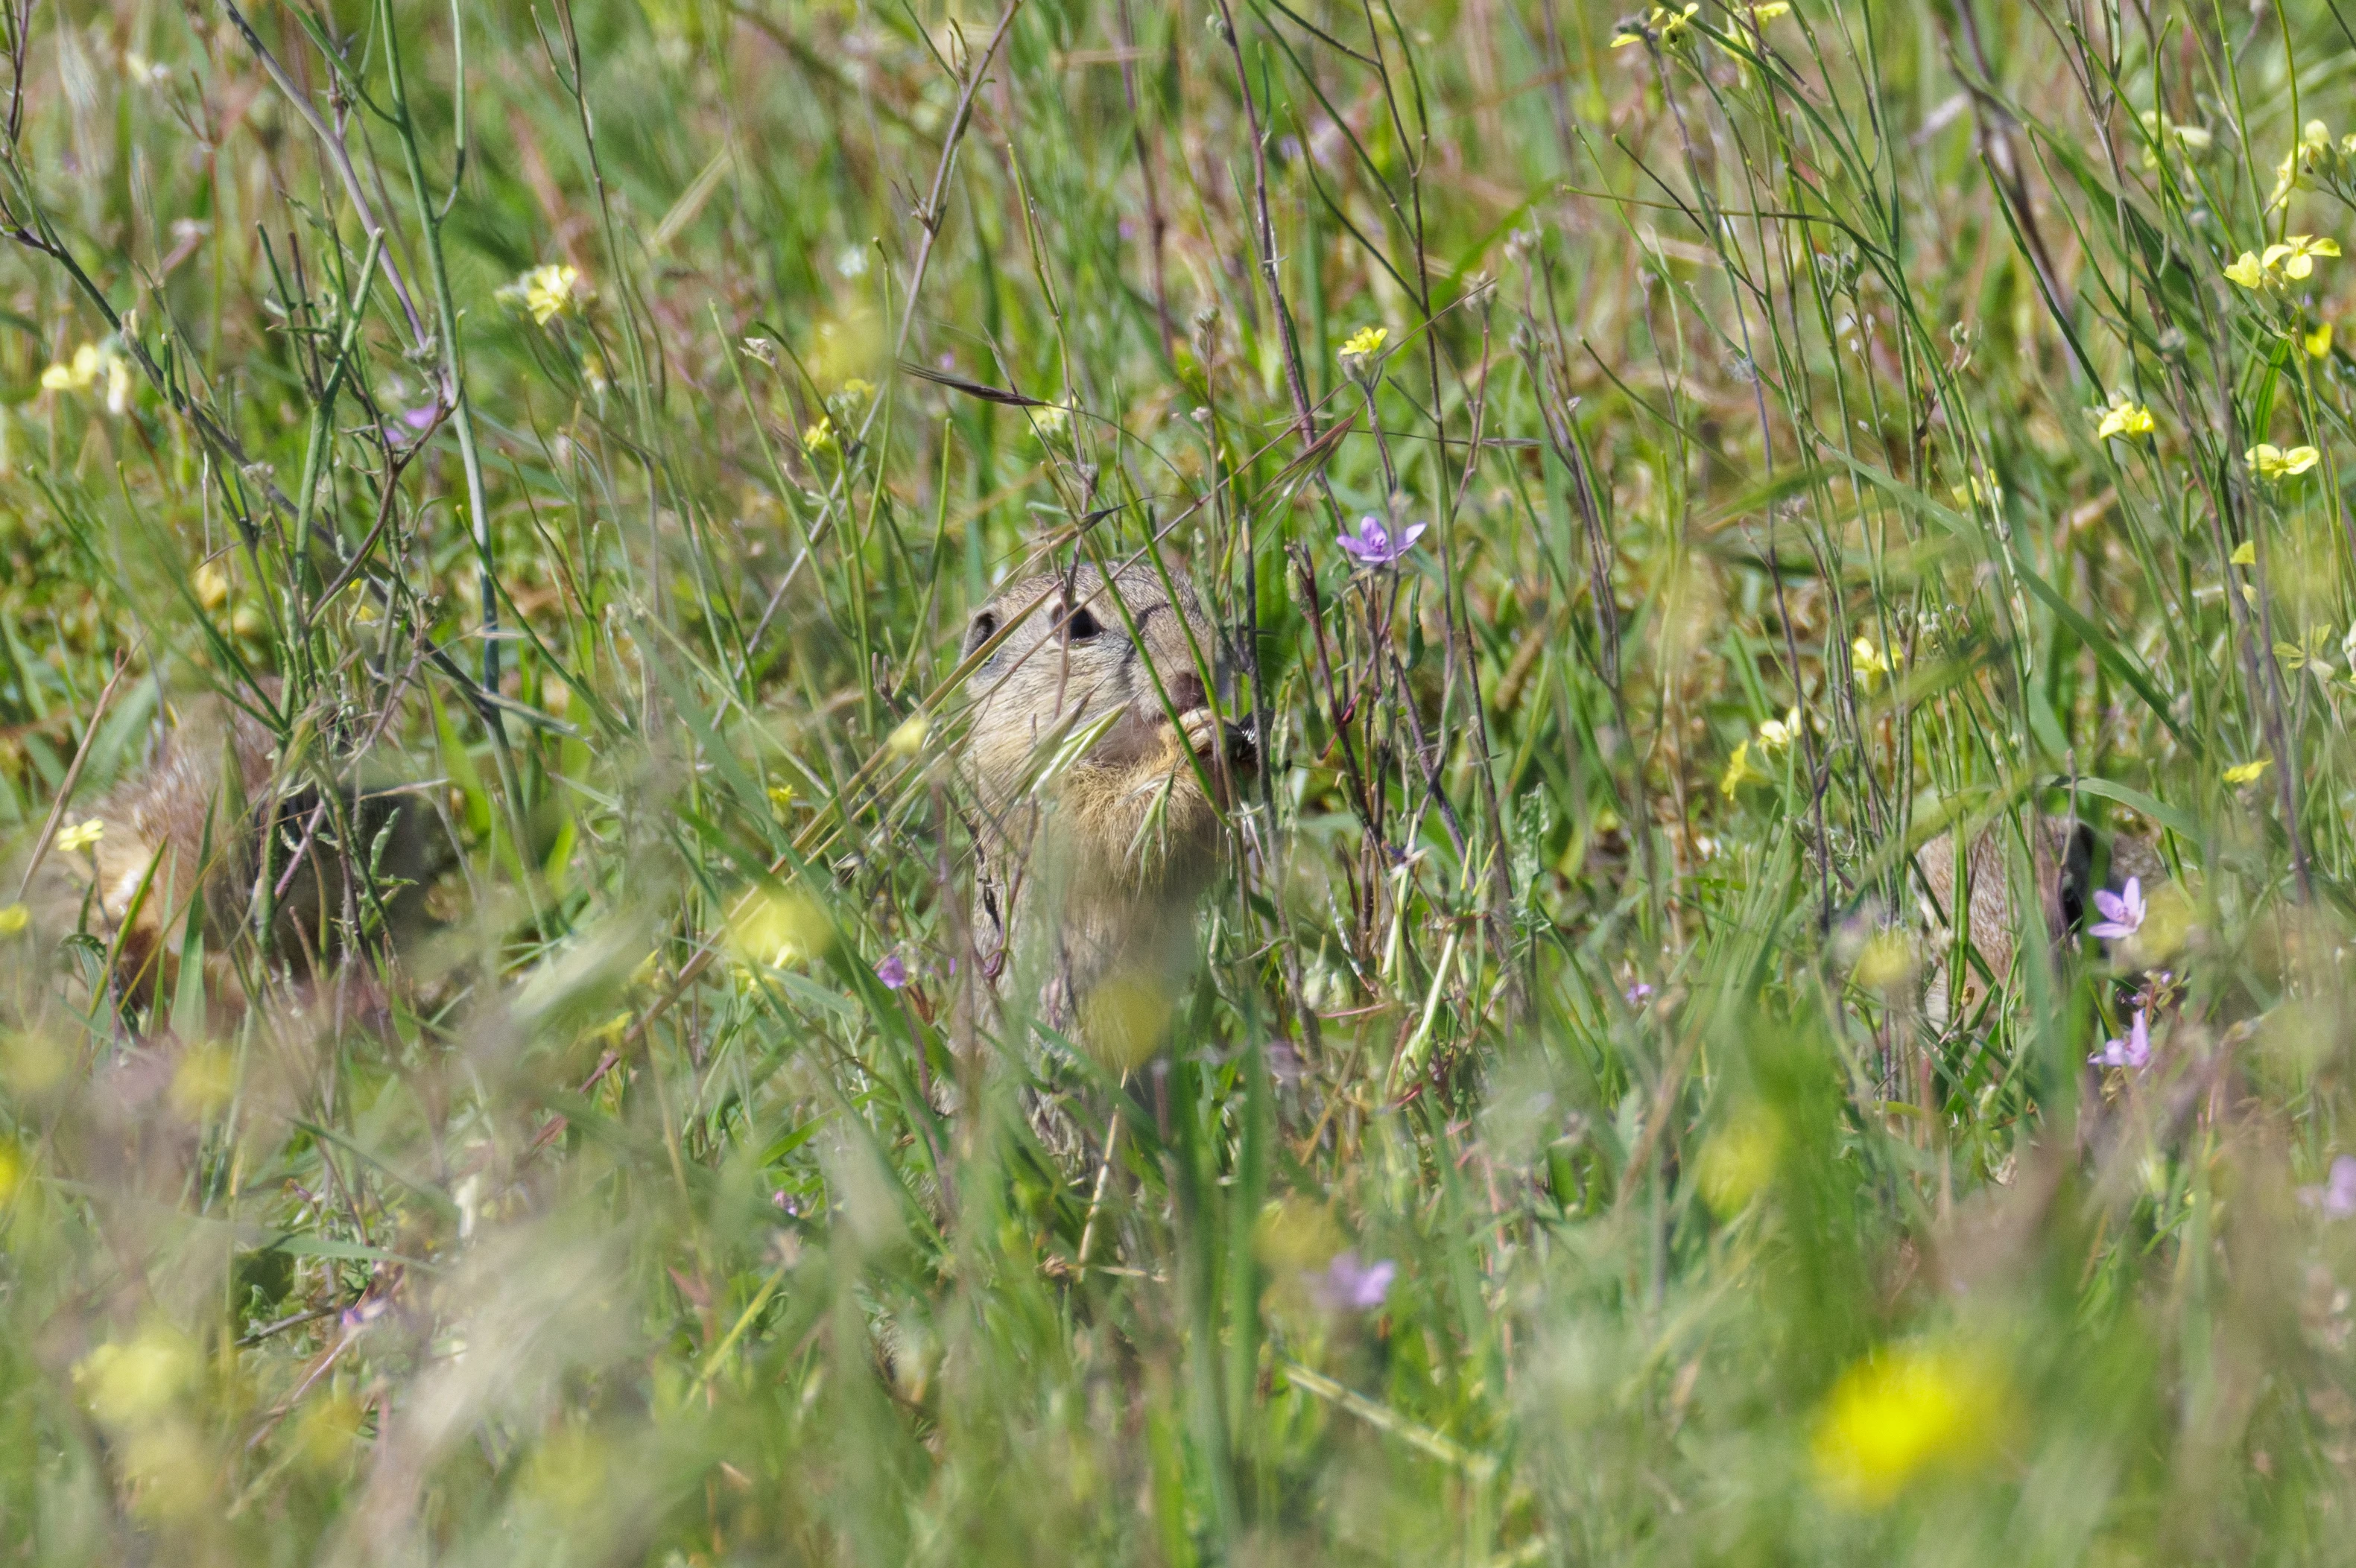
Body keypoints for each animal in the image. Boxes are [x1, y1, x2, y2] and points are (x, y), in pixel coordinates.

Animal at [959, 560, 1254, 1040]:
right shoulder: (1045, 803)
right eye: (1077, 625)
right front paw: (1191, 742)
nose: (1202, 671)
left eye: (1191, 596)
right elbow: (1121, 832)